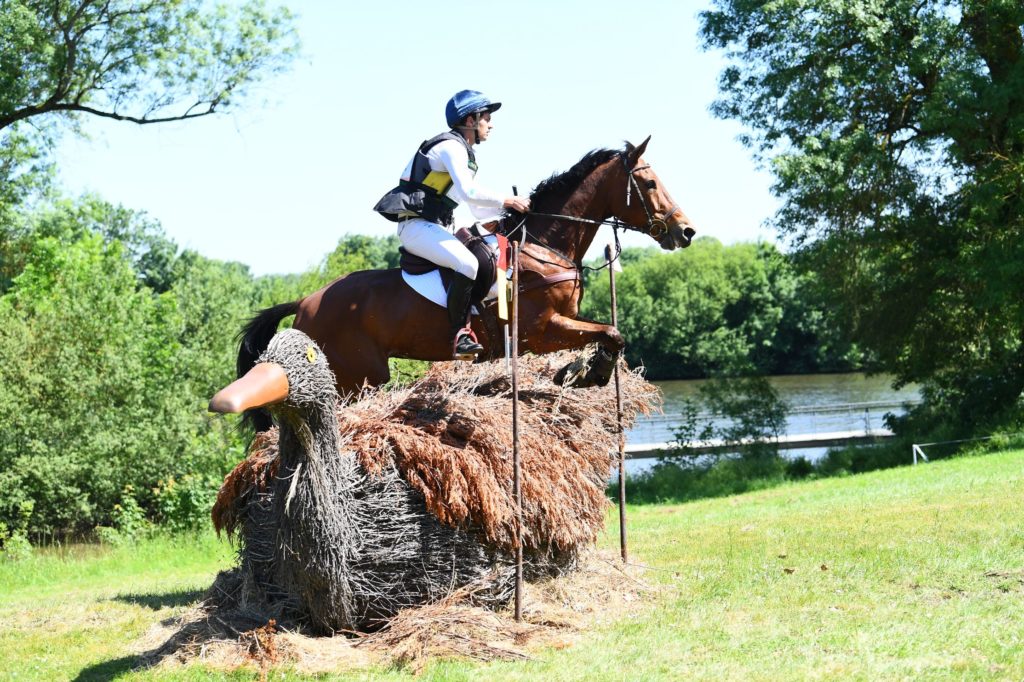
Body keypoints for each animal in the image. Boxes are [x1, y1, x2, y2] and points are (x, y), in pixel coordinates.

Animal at [232, 134, 696, 419]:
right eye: (650, 184)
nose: (686, 231)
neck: (545, 245)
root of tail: (306, 302)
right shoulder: (537, 332)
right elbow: (611, 333)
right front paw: (591, 373)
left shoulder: (562, 322)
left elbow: (608, 332)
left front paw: (582, 371)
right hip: (358, 377)